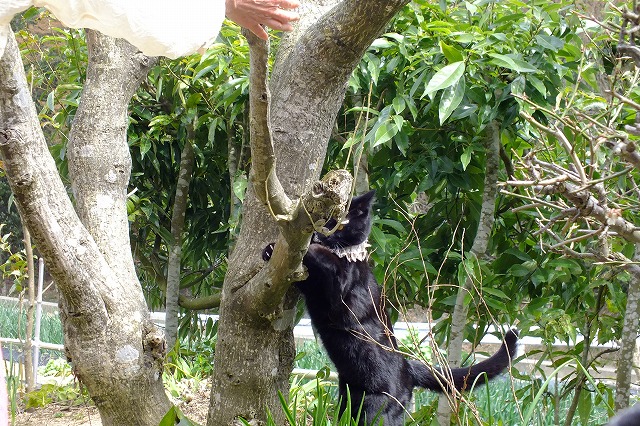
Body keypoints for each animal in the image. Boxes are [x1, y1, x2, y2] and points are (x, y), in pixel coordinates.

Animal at [262, 191, 516, 424]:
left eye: (340, 223)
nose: (320, 232)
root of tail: (408, 367)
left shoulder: (339, 285)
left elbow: (326, 258)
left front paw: (311, 246)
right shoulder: (311, 286)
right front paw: (270, 249)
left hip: (378, 410)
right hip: (348, 402)